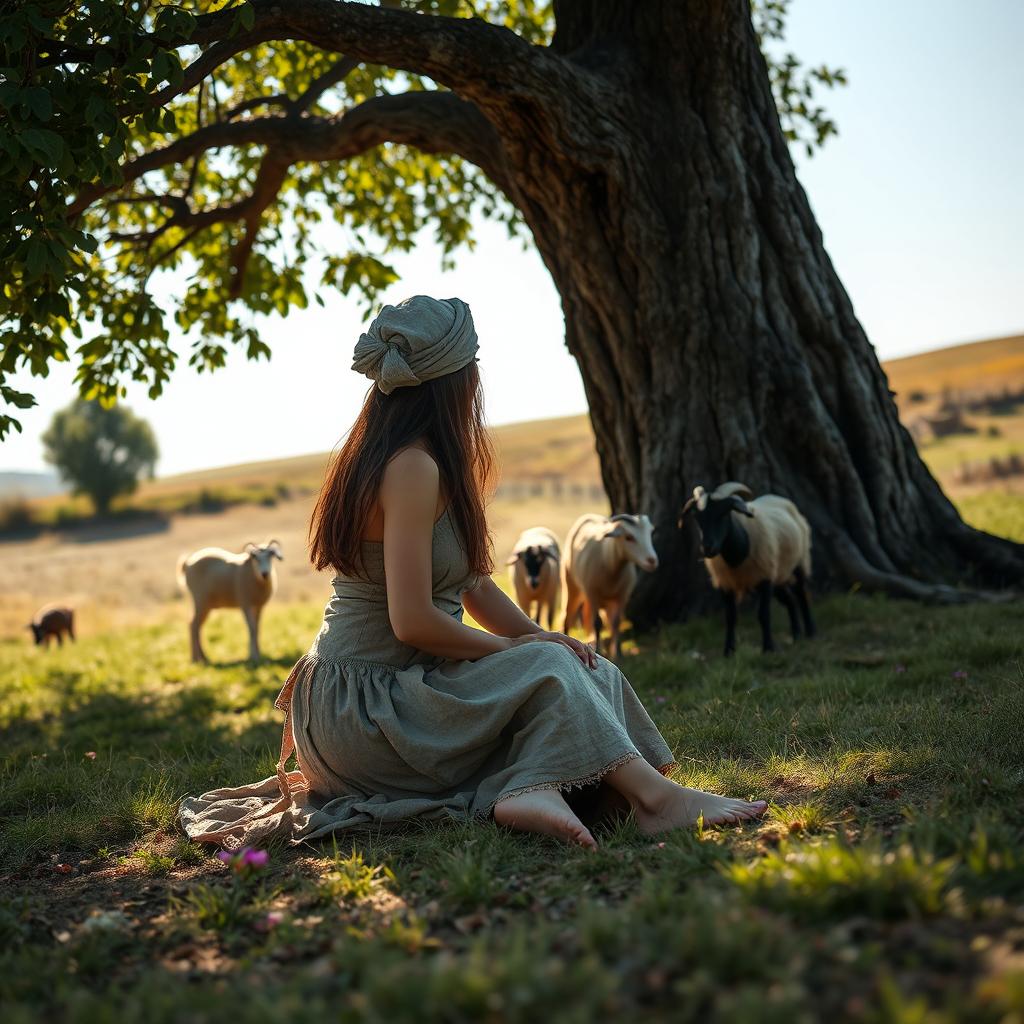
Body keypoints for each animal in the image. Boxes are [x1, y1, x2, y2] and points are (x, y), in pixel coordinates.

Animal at [561, 512, 655, 663]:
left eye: (650, 533)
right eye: (629, 537)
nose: (652, 561)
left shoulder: (623, 595)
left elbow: (616, 622)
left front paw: (618, 652)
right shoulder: (593, 593)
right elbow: (597, 623)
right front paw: (599, 650)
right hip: (571, 585)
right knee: (568, 614)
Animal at [679, 481, 815, 655]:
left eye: (724, 513)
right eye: (697, 518)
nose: (707, 548)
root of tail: (778, 498)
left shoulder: (764, 577)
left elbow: (763, 614)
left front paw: (768, 648)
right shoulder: (725, 583)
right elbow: (730, 617)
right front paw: (728, 651)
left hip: (799, 562)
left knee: (801, 594)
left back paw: (810, 632)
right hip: (778, 573)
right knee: (790, 600)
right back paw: (796, 635)